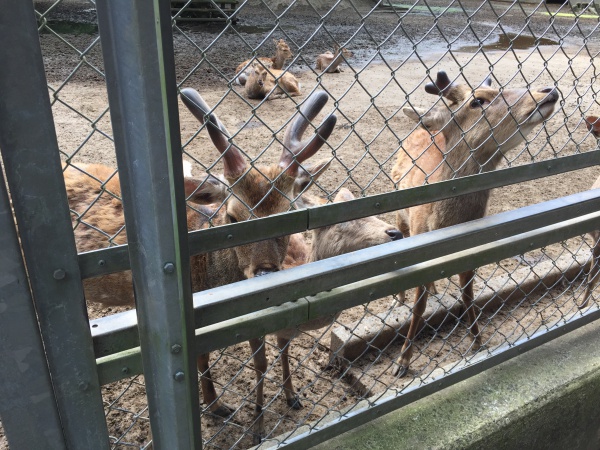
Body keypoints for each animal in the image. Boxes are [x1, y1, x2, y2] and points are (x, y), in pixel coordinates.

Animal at [67, 89, 338, 442]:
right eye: (232, 217)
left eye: (290, 215)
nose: (264, 272)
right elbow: (203, 356)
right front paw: (221, 408)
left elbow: (268, 354)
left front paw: (290, 399)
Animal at [392, 70, 560, 378]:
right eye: (478, 101)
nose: (547, 90)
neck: (442, 223)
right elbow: (418, 306)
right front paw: (403, 362)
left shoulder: (471, 254)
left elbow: (468, 296)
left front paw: (478, 342)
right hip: (400, 208)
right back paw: (399, 297)